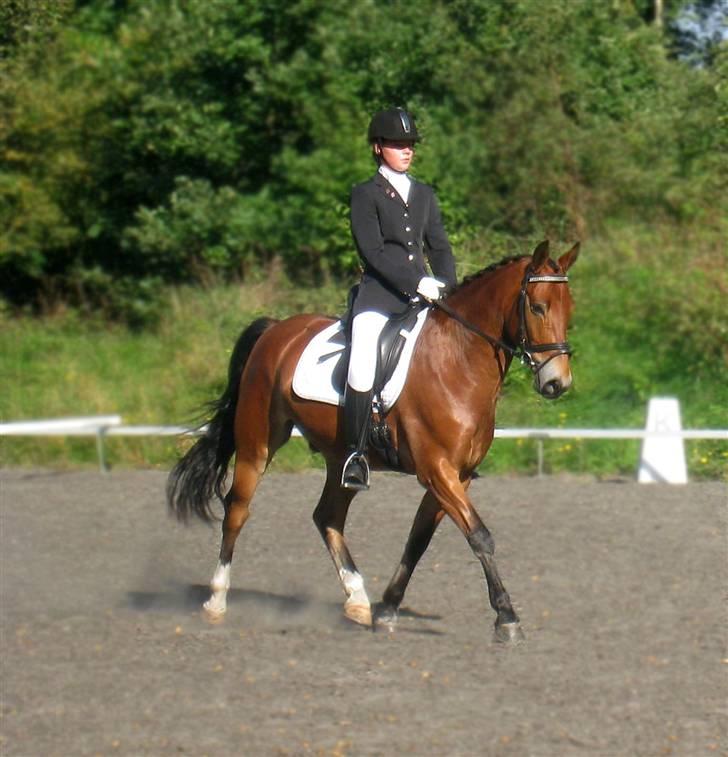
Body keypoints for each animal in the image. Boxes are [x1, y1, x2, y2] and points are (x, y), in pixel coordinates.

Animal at [167, 239, 579, 642]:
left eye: (569, 311)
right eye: (538, 307)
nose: (557, 383)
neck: (458, 358)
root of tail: (276, 330)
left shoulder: (456, 476)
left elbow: (418, 540)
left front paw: (388, 609)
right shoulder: (437, 470)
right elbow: (480, 536)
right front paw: (507, 617)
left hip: (341, 456)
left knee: (327, 516)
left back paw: (358, 600)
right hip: (258, 442)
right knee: (237, 510)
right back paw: (217, 601)